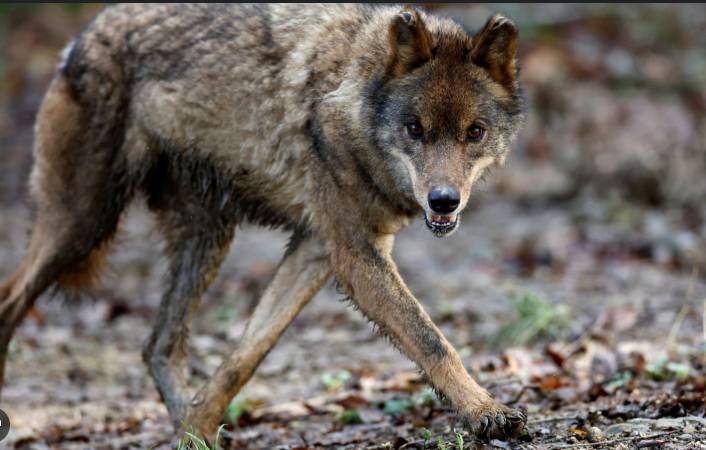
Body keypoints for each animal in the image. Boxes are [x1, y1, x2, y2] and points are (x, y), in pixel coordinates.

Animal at [0, 3, 525, 440]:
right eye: (415, 129)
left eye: (474, 132)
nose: (444, 202)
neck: (352, 89)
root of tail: (82, 36)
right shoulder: (355, 255)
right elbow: (431, 340)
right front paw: (486, 411)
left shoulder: (318, 250)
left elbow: (245, 356)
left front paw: (196, 429)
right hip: (82, 225)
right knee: (11, 301)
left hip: (206, 238)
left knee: (158, 346)